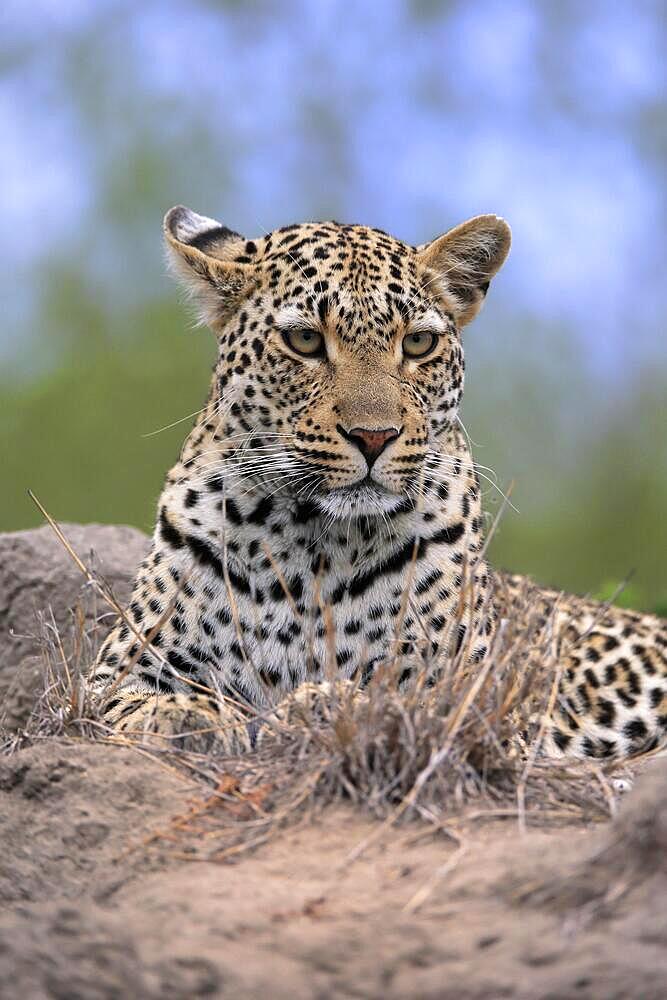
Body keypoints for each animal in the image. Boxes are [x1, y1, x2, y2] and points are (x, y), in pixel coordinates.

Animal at [91, 207, 664, 760]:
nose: (374, 436)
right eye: (304, 340)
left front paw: (325, 705)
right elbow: (130, 700)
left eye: (418, 342)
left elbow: (401, 702)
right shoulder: (126, 663)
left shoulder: (475, 701)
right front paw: (182, 715)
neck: (310, 546)